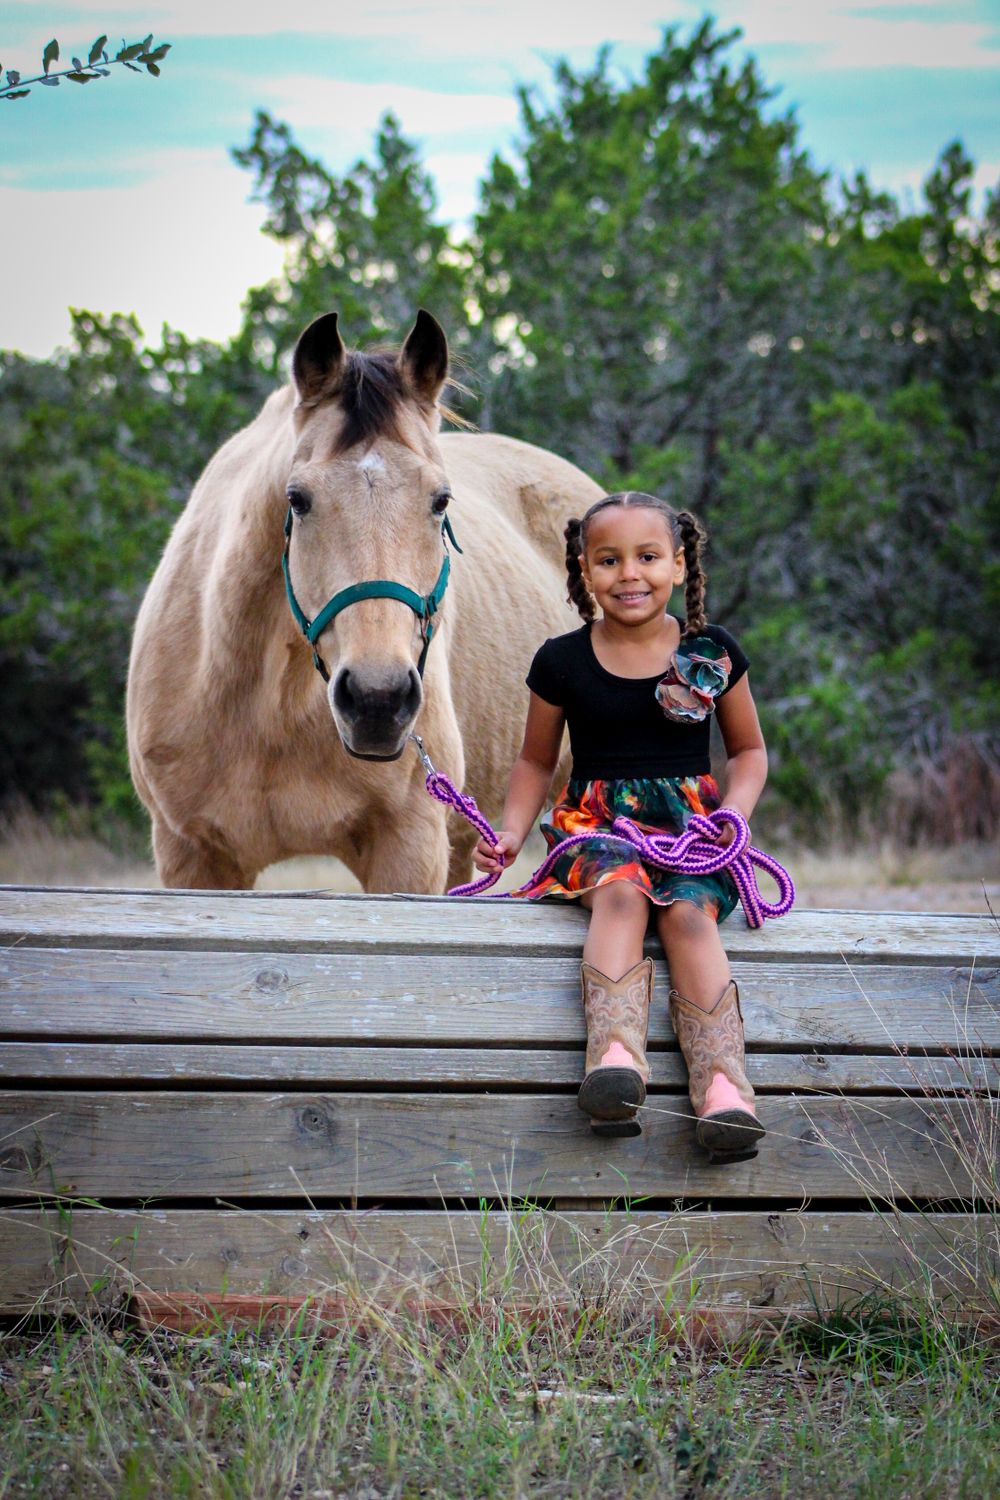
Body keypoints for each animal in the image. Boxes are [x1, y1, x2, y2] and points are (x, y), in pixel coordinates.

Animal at [126, 310, 603, 892]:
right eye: (297, 499)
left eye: (441, 500)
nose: (378, 699)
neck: (266, 707)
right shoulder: (191, 855)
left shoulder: (408, 847)